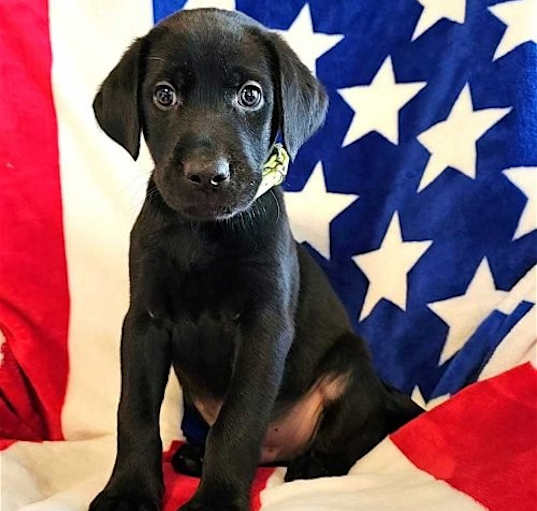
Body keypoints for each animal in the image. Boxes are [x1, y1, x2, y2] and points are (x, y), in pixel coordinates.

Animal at [90, 8, 420, 511]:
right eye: (164, 95)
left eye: (250, 95)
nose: (207, 175)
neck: (203, 235)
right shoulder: (145, 322)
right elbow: (136, 414)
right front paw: (128, 491)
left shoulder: (264, 325)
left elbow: (238, 419)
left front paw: (217, 501)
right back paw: (193, 456)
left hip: (350, 367)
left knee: (362, 435)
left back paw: (315, 465)